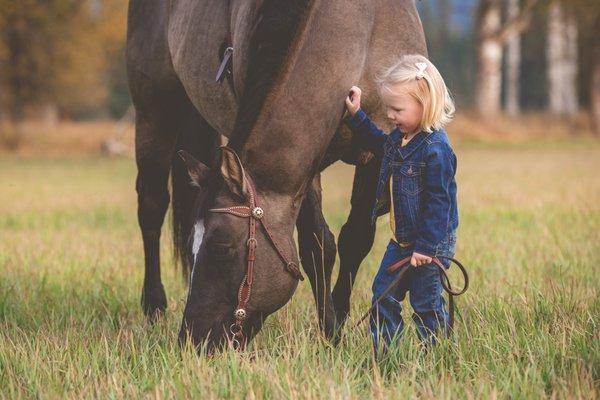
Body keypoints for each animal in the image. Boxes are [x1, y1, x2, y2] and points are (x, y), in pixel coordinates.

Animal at [125, 0, 426, 352]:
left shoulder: (380, 151)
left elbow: (355, 239)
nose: (192, 340)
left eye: (221, 246)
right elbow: (317, 245)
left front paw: (338, 322)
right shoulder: (304, 167)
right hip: (153, 112)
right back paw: (154, 307)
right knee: (151, 208)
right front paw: (331, 331)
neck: (359, 33)